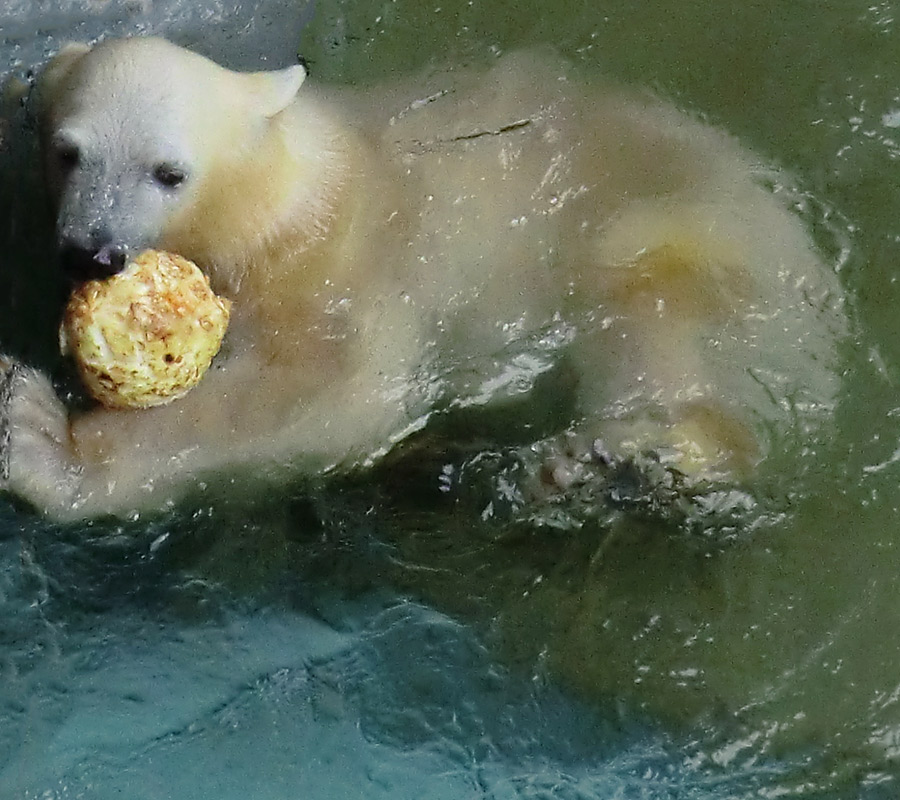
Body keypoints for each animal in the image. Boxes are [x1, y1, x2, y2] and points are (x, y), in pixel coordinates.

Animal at [0, 36, 844, 520]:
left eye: (168, 172)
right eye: (70, 151)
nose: (91, 251)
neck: (281, 196)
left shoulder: (342, 263)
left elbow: (334, 393)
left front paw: (41, 436)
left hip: (687, 239)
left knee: (659, 322)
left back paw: (630, 460)